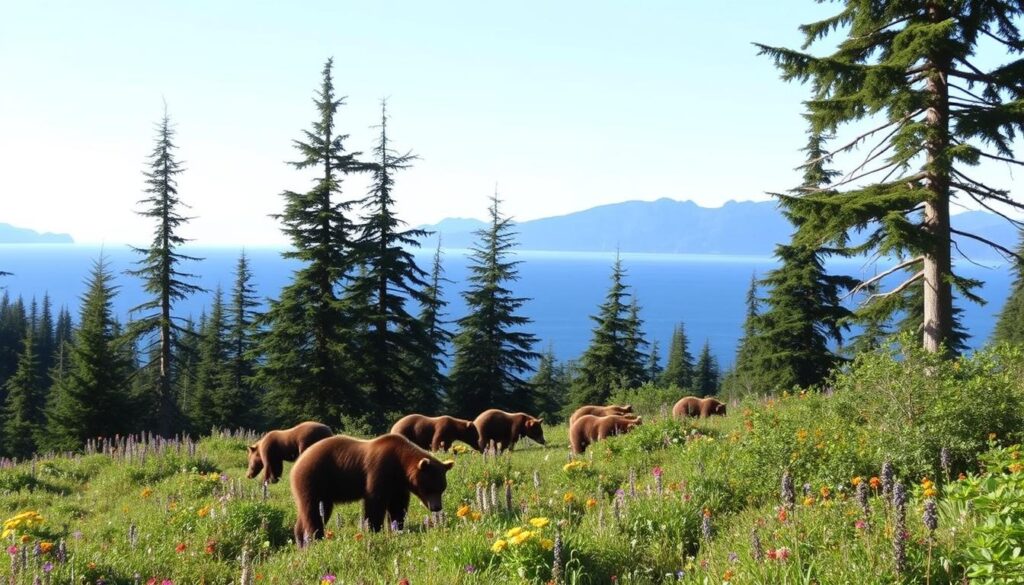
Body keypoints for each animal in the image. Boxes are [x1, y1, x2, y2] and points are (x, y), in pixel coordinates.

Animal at [286, 434, 450, 545]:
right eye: (430, 488)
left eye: (442, 488)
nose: (437, 507)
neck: (400, 466)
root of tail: (297, 464)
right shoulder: (379, 470)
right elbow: (374, 503)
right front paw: (373, 530)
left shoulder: (398, 485)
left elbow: (397, 506)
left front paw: (397, 528)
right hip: (313, 480)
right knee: (313, 511)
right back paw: (316, 537)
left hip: (323, 491)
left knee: (313, 513)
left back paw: (302, 541)